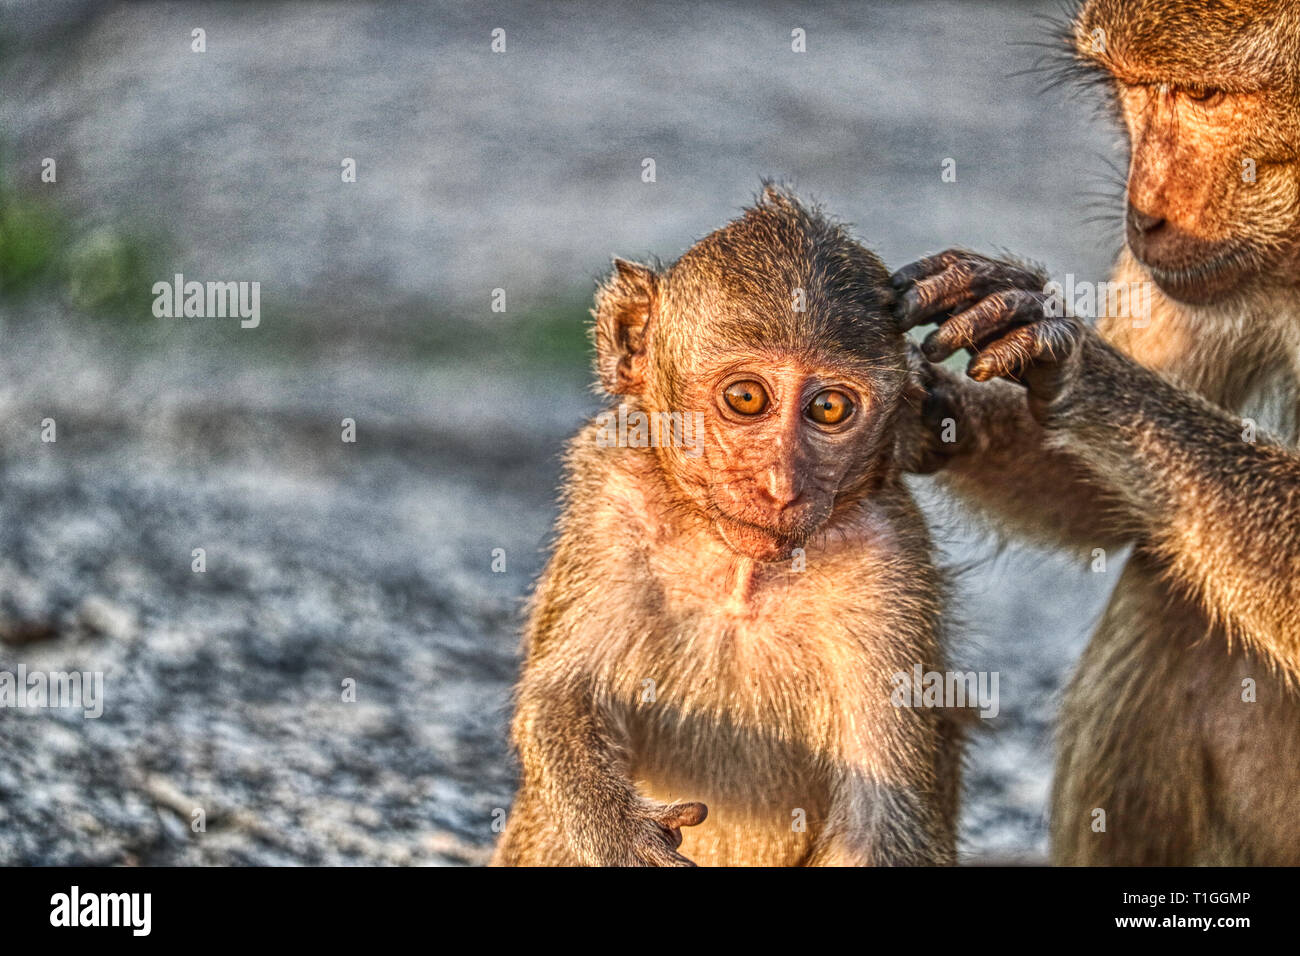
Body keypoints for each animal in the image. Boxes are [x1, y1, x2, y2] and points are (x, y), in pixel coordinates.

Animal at [491, 188, 961, 868]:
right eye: (746, 398)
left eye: (829, 408)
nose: (780, 485)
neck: (742, 569)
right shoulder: (611, 500)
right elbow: (559, 697)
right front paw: (624, 837)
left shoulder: (889, 564)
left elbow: (884, 815)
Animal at [894, 0, 1300, 868]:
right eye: (1137, 90)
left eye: (1207, 96)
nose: (1143, 215)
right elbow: (1098, 507)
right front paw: (915, 403)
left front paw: (1077, 362)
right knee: (1172, 595)